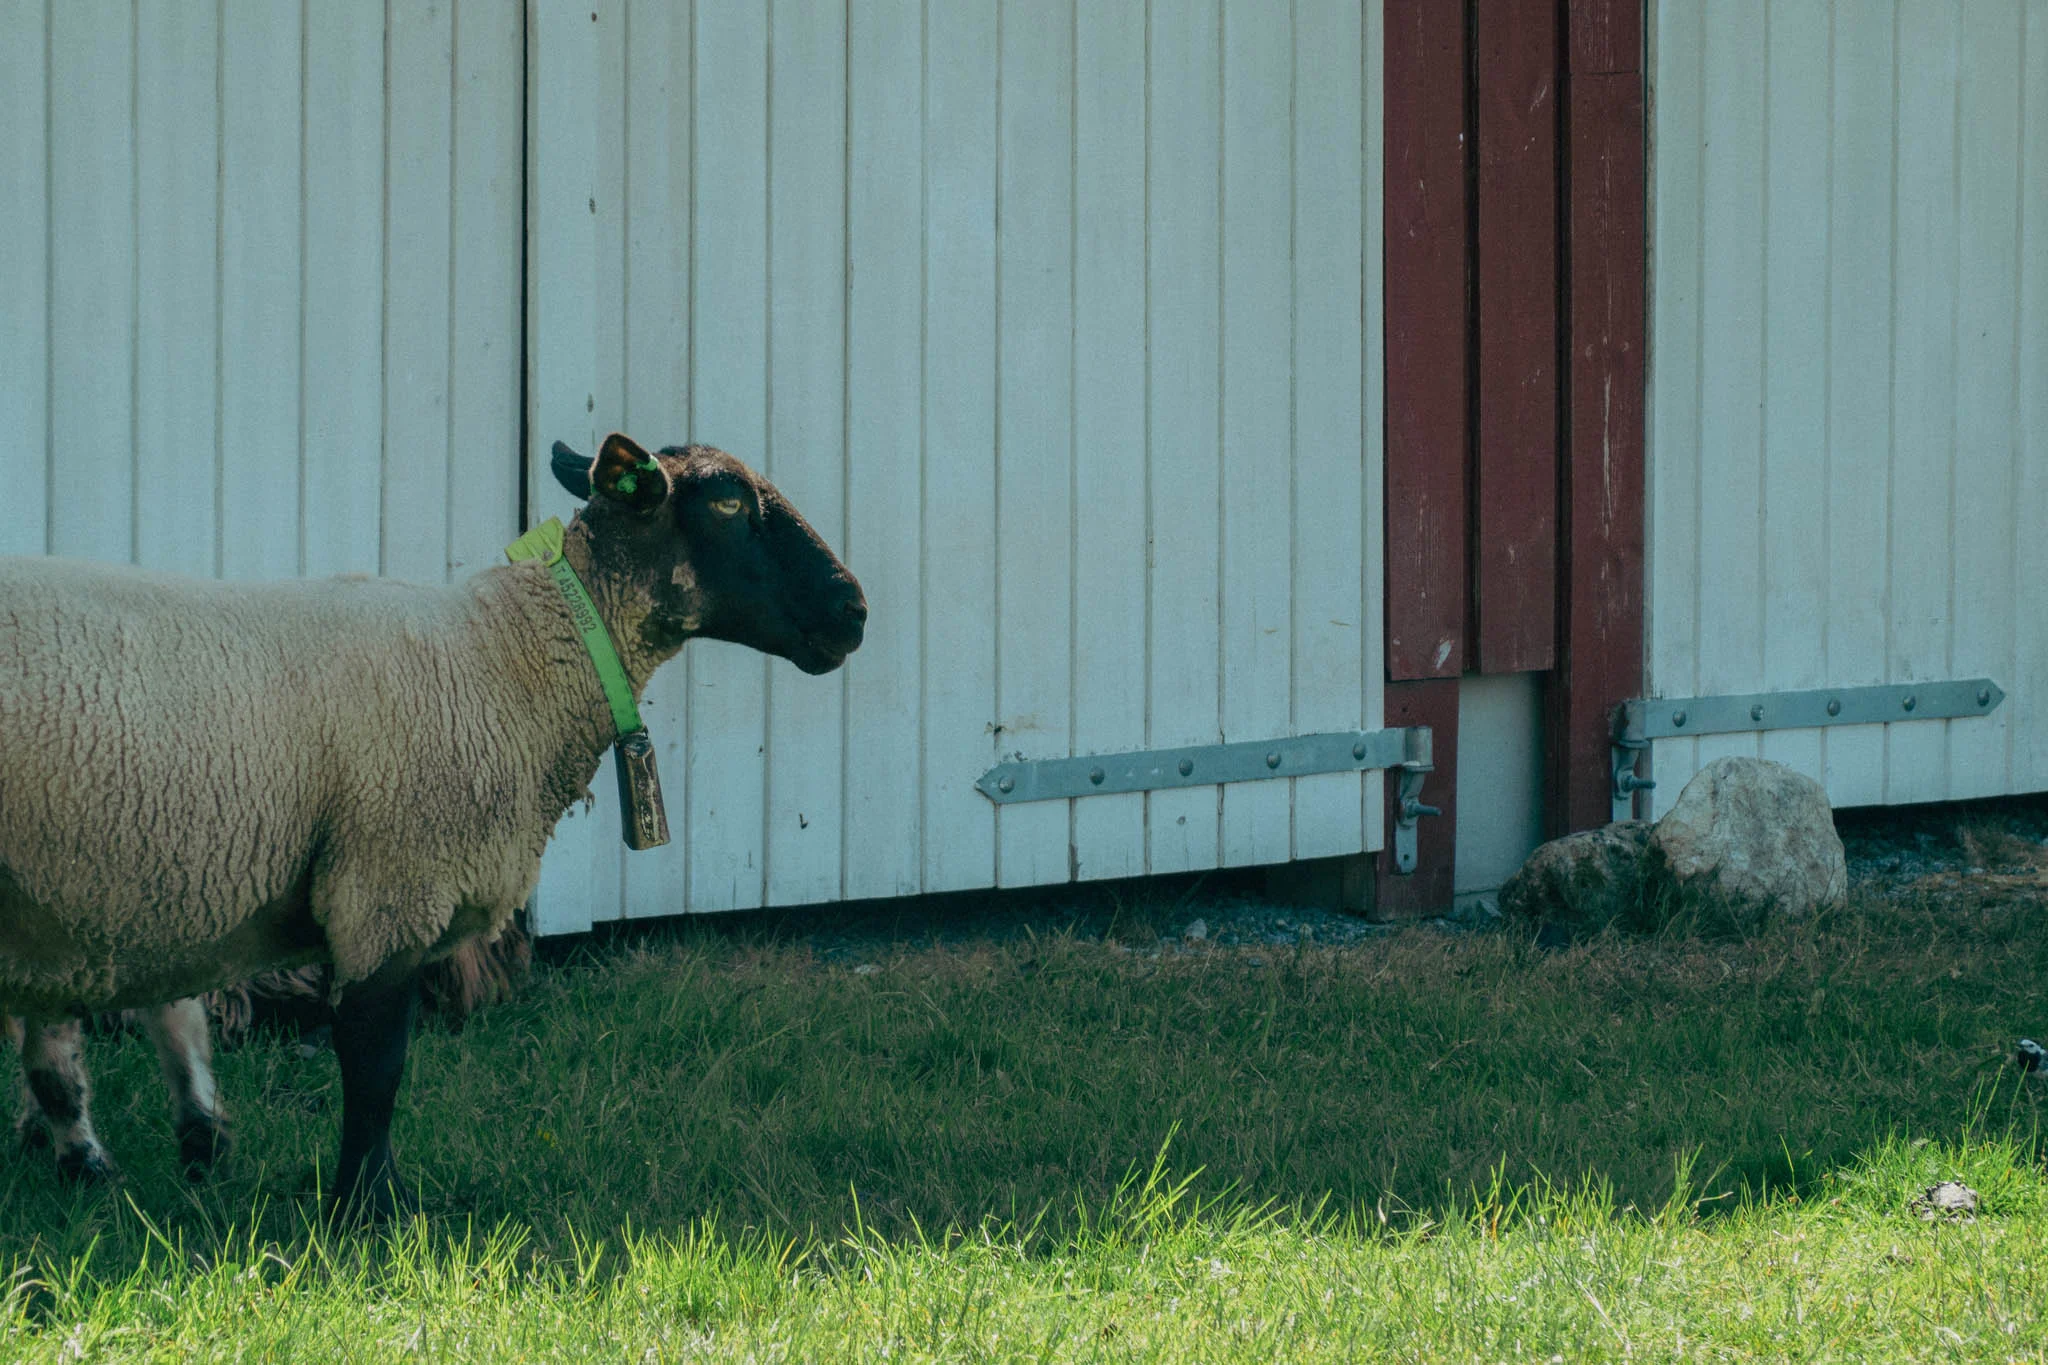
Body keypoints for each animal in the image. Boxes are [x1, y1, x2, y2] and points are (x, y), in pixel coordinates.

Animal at [0, 433, 865, 1213]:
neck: (510, 659)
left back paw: (105, 1162)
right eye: (727, 503)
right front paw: (369, 1211)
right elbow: (376, 1064)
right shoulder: (387, 887)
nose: (854, 610)